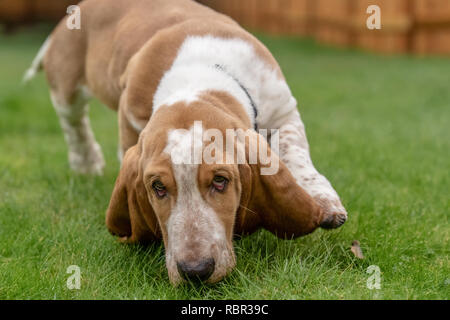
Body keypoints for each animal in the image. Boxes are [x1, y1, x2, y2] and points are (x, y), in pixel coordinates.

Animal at [24, 0, 348, 284]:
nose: (195, 271)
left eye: (220, 181)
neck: (200, 78)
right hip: (67, 90)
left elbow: (297, 155)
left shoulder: (283, 111)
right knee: (74, 125)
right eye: (157, 187)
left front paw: (325, 201)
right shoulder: (130, 123)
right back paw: (87, 164)